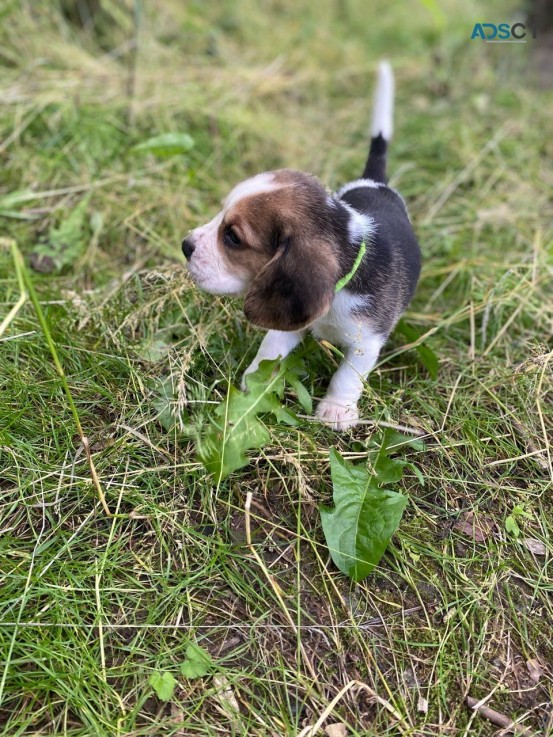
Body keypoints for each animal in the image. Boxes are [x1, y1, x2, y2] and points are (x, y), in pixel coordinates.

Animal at [181, 66, 418, 432]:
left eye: (232, 237)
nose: (185, 246)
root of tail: (375, 183)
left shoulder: (367, 341)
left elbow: (348, 376)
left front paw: (336, 410)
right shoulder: (289, 320)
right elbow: (269, 350)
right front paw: (254, 385)